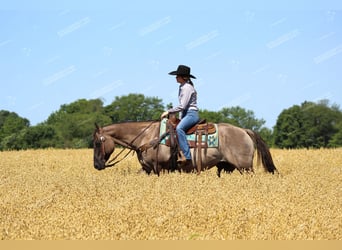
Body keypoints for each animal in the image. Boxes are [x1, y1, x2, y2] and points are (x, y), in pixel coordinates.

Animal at [93, 119, 278, 176]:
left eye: (97, 143)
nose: (96, 165)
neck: (147, 137)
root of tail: (244, 131)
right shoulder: (147, 169)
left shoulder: (159, 168)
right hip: (227, 167)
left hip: (246, 168)